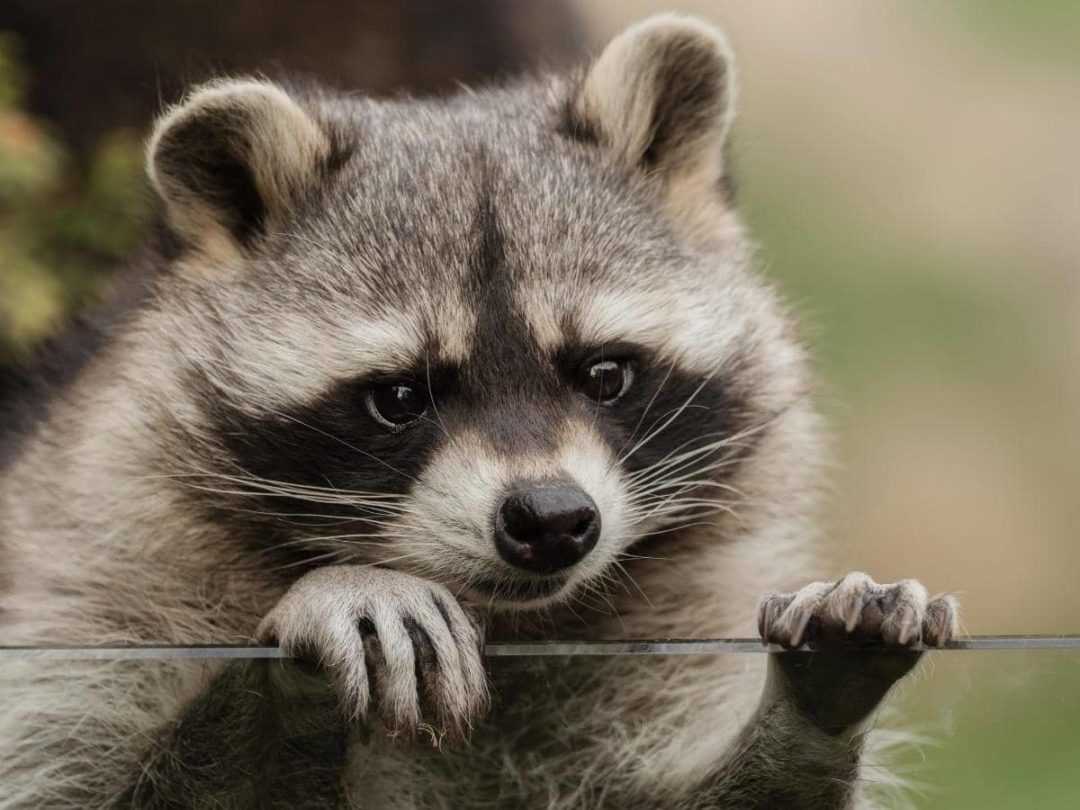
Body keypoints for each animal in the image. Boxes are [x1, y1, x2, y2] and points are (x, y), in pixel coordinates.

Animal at [0, 15, 958, 809]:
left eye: (604, 374)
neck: (507, 622)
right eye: (398, 397)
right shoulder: (89, 601)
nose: (552, 519)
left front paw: (813, 708)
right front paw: (302, 657)